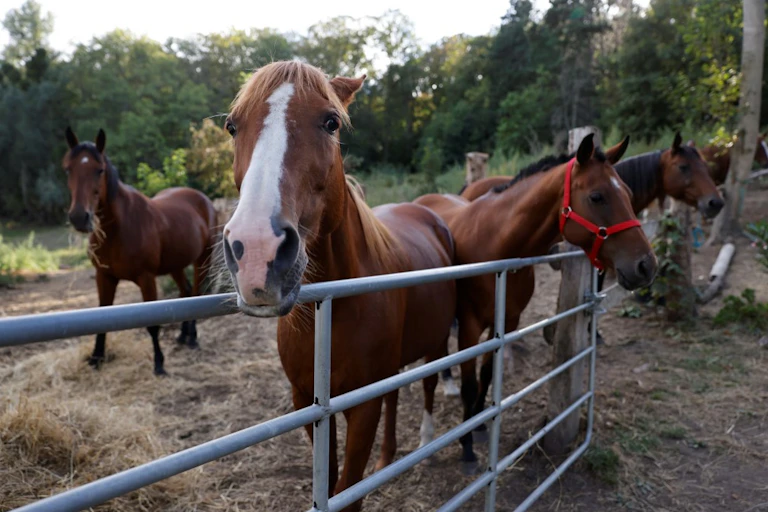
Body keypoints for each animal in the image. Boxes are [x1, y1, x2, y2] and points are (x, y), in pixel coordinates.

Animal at [62, 127, 218, 375]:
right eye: (68, 169)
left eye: (99, 170)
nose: (79, 217)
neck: (118, 229)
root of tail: (203, 199)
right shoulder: (104, 277)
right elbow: (101, 315)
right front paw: (96, 358)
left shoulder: (146, 279)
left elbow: (152, 324)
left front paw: (159, 363)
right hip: (175, 265)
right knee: (184, 292)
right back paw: (183, 336)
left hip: (203, 259)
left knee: (195, 293)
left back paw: (192, 338)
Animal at [220, 60, 456, 512]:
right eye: (231, 126)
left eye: (331, 122)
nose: (256, 251)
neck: (332, 310)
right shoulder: (307, 401)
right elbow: (328, 483)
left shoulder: (362, 408)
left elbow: (348, 493)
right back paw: (388, 457)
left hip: (434, 342)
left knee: (430, 384)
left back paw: (426, 441)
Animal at [414, 134, 657, 471]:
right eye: (597, 197)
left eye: (629, 193)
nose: (646, 266)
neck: (495, 243)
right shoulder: (470, 326)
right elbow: (470, 383)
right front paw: (466, 447)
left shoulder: (506, 322)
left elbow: (487, 375)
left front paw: (479, 424)